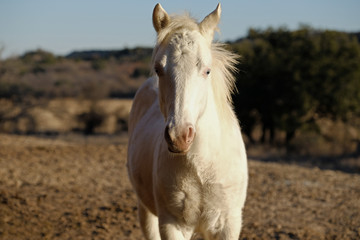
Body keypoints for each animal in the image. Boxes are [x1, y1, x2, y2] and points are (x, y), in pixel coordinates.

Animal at [126, 3, 248, 240]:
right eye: (158, 69)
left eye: (207, 70)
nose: (179, 136)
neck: (202, 168)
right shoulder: (171, 224)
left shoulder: (229, 224)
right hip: (146, 211)